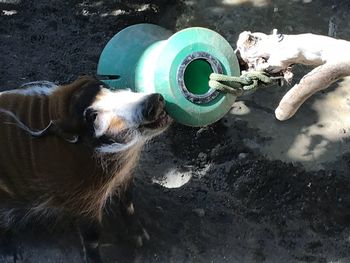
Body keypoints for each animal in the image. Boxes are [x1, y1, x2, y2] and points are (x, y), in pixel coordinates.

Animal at [0, 75, 171, 262]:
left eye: (109, 88)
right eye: (93, 116)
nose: (156, 98)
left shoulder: (125, 176)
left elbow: (128, 204)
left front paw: (142, 239)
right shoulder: (82, 198)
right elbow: (92, 236)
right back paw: (10, 255)